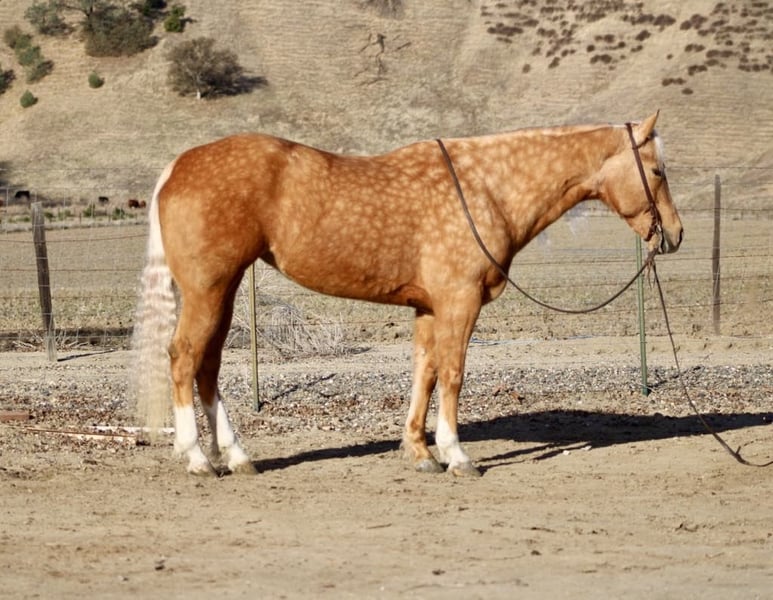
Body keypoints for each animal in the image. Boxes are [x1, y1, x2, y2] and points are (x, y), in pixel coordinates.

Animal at [132, 112, 683, 477]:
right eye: (658, 171)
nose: (675, 235)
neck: (488, 188)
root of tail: (178, 166)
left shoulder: (429, 308)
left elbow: (425, 373)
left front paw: (419, 451)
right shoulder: (459, 303)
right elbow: (454, 375)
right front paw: (456, 455)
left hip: (221, 293)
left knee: (207, 368)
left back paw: (238, 456)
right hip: (207, 291)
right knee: (184, 358)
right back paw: (198, 459)